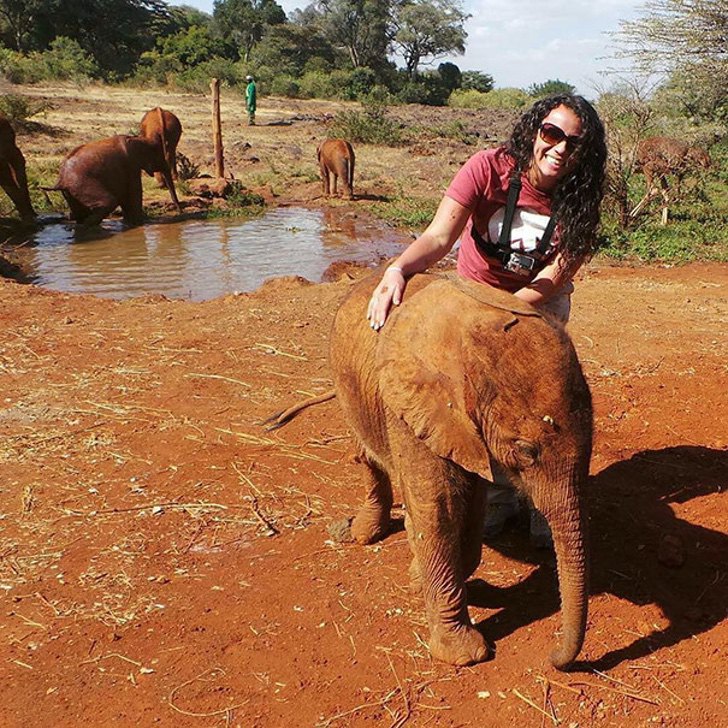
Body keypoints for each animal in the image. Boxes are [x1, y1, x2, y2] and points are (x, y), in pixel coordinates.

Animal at [50, 135, 181, 226]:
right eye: (158, 156)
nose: (180, 214)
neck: (138, 138)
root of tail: (61, 180)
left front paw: (129, 223)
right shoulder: (131, 164)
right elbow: (134, 192)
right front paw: (139, 223)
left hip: (71, 191)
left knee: (79, 212)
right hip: (82, 184)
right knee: (109, 202)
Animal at [332, 270, 596, 668]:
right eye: (525, 451)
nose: (553, 656)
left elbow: (471, 505)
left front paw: (429, 581)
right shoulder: (411, 409)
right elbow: (439, 507)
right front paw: (464, 655)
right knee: (367, 456)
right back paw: (364, 533)